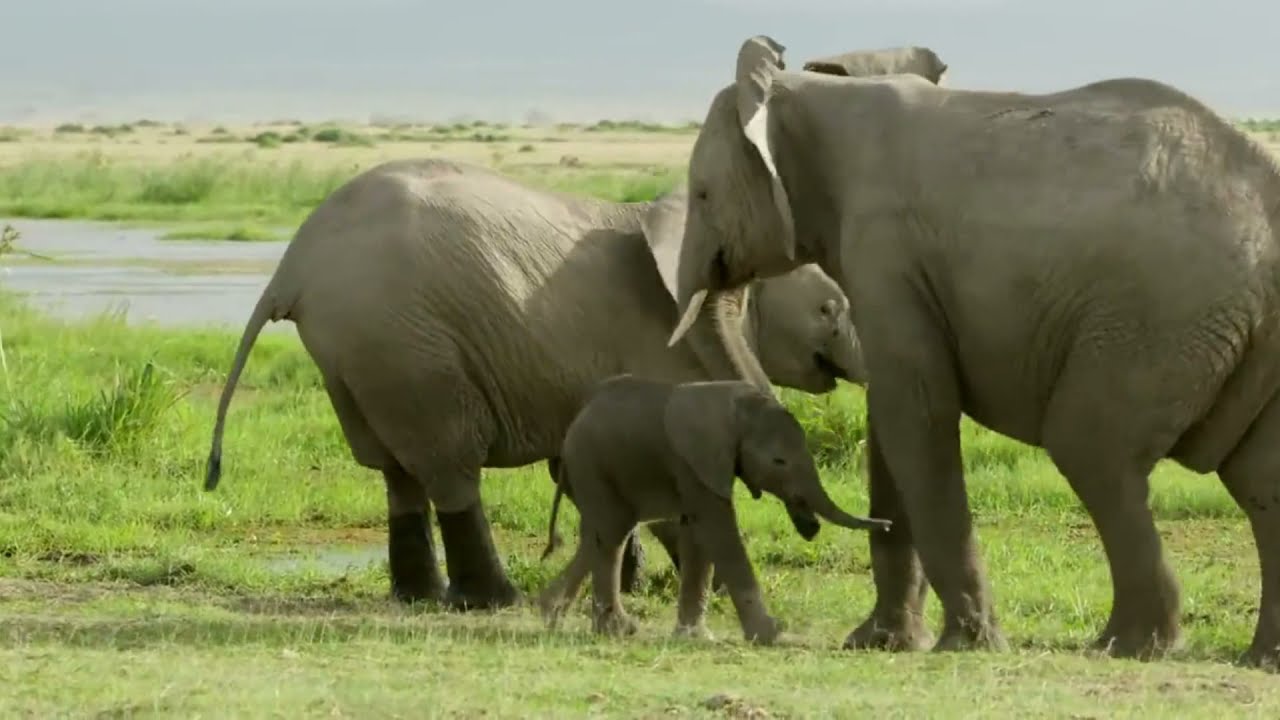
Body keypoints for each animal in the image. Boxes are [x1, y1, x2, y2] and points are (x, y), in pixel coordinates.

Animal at [202, 157, 867, 612]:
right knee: (449, 462)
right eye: (830, 309)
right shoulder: (662, 343)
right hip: (405, 344)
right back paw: (492, 600)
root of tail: (292, 268)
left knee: (397, 470)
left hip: (357, 356)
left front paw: (632, 582)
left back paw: (420, 597)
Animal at [537, 374, 889, 644]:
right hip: (592, 463)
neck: (736, 410)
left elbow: (697, 533)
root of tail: (576, 419)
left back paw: (553, 615)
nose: (887, 524)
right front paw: (770, 635)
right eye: (779, 461)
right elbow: (717, 529)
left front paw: (694, 636)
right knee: (611, 533)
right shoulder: (695, 461)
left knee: (602, 532)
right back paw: (615, 630)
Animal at [655, 34, 1280, 669]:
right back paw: (1257, 658)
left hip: (1158, 320)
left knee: (1092, 450)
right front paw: (882, 642)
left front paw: (965, 643)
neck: (813, 92)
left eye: (703, 194)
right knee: (1260, 479)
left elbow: (914, 412)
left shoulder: (885, 248)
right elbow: (893, 420)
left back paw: (1128, 646)